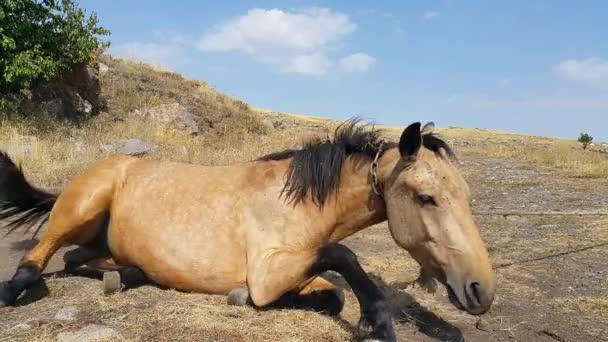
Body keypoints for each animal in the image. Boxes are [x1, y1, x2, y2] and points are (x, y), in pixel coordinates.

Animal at [0, 121, 494, 342]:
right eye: (427, 198)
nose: (480, 291)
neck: (298, 199)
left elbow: (332, 293)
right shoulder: (268, 271)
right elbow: (342, 256)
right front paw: (376, 321)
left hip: (100, 239)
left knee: (78, 261)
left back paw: (126, 276)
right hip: (81, 209)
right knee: (40, 259)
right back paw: (16, 289)